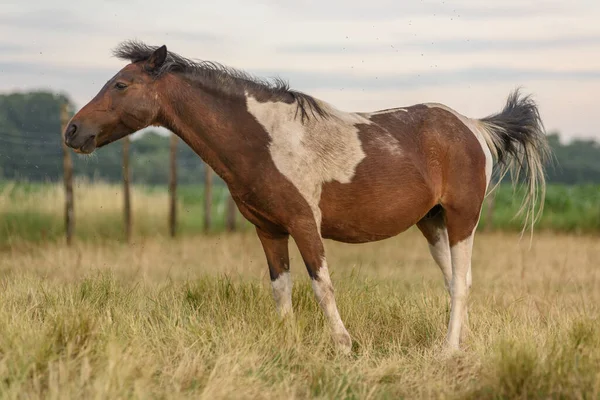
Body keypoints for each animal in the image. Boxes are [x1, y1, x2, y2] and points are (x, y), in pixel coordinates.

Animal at [63, 40, 552, 354]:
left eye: (121, 85)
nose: (72, 130)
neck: (264, 140)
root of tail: (475, 127)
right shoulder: (268, 231)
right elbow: (281, 290)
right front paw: (289, 345)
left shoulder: (303, 225)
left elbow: (322, 286)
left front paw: (344, 346)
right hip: (431, 223)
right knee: (454, 282)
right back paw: (459, 344)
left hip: (462, 220)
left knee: (462, 284)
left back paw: (448, 351)